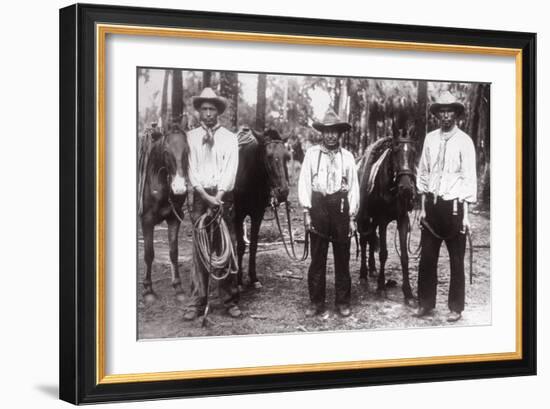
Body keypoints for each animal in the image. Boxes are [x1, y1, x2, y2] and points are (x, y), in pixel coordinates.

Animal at [140, 121, 190, 300]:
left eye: (187, 151)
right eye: (166, 152)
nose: (180, 187)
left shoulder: (174, 218)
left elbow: (173, 252)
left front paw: (178, 287)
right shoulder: (146, 221)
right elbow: (149, 253)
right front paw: (148, 290)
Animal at [234, 129, 292, 288]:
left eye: (287, 157)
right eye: (269, 156)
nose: (283, 192)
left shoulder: (257, 215)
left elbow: (253, 245)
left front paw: (254, 278)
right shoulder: (238, 215)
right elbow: (241, 246)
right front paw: (239, 281)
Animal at [358, 129, 418, 304]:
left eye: (414, 153)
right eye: (395, 152)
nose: (406, 188)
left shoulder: (402, 219)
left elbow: (404, 256)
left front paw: (408, 292)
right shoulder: (383, 220)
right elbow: (383, 253)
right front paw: (381, 287)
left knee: (371, 239)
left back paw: (372, 269)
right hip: (365, 218)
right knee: (364, 241)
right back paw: (363, 274)